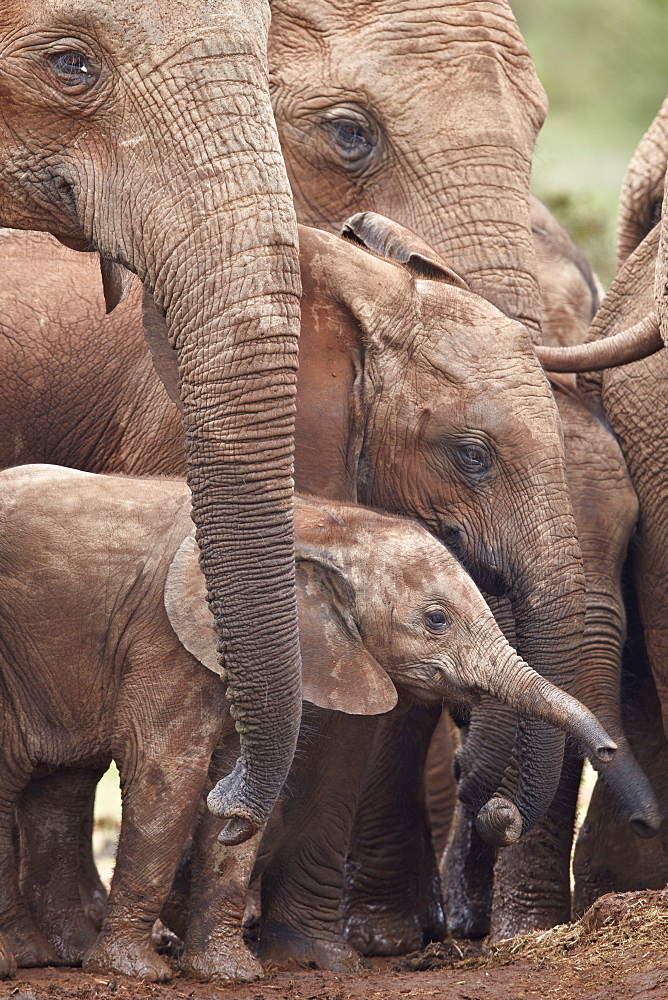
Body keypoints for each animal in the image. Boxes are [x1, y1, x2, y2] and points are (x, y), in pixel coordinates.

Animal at [0, 464, 616, 980]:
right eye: (436, 620)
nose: (607, 752)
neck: (326, 525)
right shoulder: (165, 643)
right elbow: (167, 779)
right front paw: (138, 973)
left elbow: (232, 776)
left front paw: (231, 975)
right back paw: (31, 957)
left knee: (61, 788)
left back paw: (66, 953)